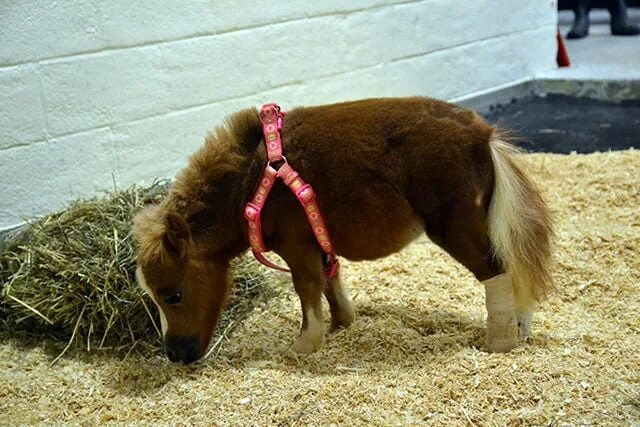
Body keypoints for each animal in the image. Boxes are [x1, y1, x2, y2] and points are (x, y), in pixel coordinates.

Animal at [132, 98, 552, 364]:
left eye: (172, 295)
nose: (175, 354)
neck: (250, 179)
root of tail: (483, 136)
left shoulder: (296, 246)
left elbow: (308, 290)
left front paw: (304, 345)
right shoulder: (318, 243)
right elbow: (330, 282)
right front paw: (340, 326)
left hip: (456, 229)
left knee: (497, 272)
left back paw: (499, 343)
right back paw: (519, 329)